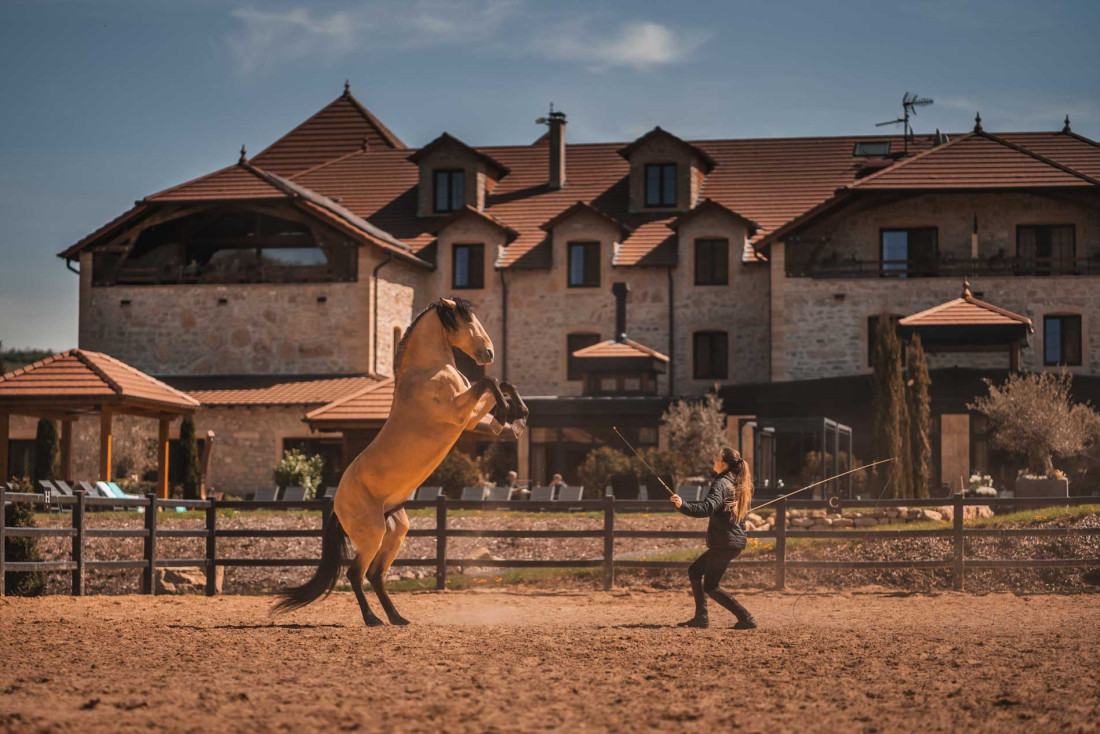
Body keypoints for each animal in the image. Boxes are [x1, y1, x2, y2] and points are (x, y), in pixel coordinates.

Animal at [272, 297, 525, 625]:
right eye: (467, 320)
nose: (489, 353)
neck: (428, 371)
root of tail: (337, 505)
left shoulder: (468, 419)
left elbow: (501, 384)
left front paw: (516, 417)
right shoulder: (459, 412)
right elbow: (489, 381)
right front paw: (508, 414)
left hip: (395, 531)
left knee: (376, 574)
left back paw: (397, 617)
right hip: (373, 535)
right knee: (356, 574)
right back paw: (373, 619)